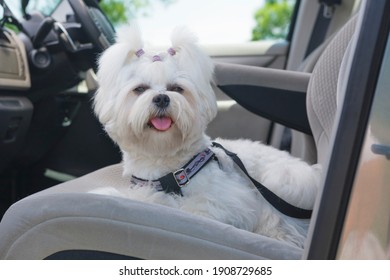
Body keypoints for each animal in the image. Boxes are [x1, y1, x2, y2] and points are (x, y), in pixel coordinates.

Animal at [93, 24, 322, 247]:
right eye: (140, 89)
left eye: (177, 88)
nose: (162, 98)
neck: (170, 166)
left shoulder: (229, 200)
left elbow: (177, 203)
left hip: (283, 182)